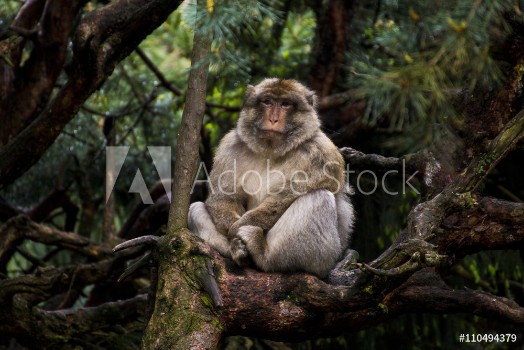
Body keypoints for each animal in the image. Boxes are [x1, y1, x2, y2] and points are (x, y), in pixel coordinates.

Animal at [189, 78, 356, 278]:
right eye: (267, 102)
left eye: (285, 104)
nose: (273, 119)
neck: (270, 150)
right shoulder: (229, 147)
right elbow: (224, 198)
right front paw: (233, 235)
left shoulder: (320, 153)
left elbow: (284, 198)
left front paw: (238, 228)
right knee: (195, 208)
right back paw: (238, 251)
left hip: (325, 256)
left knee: (318, 197)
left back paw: (262, 252)